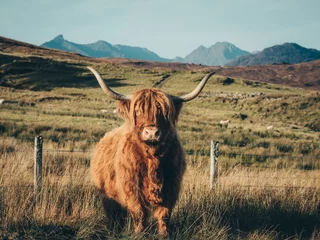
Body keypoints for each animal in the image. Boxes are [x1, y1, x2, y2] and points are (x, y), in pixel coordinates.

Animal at [88, 66, 215, 237]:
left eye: (163, 112)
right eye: (138, 111)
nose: (152, 133)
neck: (152, 159)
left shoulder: (171, 187)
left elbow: (164, 214)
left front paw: (164, 235)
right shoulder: (131, 188)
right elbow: (139, 213)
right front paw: (139, 234)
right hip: (107, 194)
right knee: (114, 214)